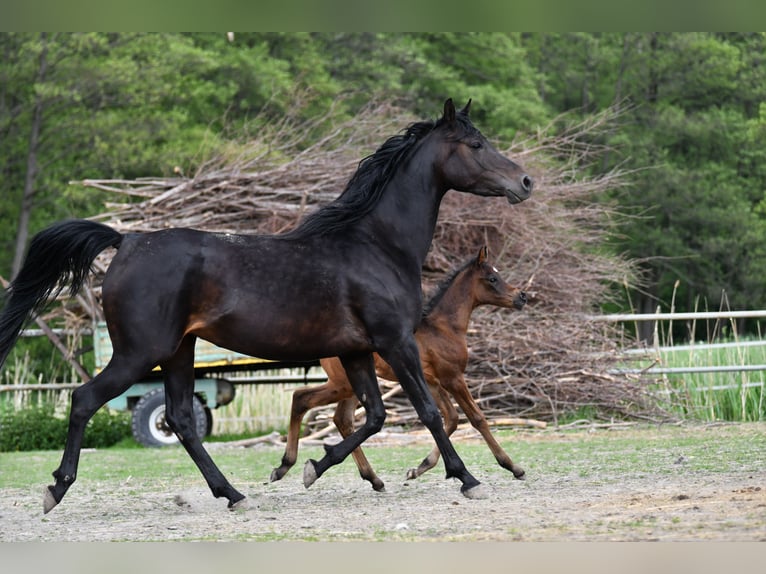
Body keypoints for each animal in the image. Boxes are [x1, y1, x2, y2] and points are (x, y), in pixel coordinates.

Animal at [270, 245, 528, 492]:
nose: (522, 296)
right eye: (492, 278)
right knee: (302, 397)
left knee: (341, 419)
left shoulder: (433, 382)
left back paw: (372, 479)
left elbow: (451, 418)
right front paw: (512, 466)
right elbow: (476, 418)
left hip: (353, 385)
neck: (443, 327)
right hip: (343, 384)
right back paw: (287, 466)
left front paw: (419, 468)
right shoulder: (452, 377)